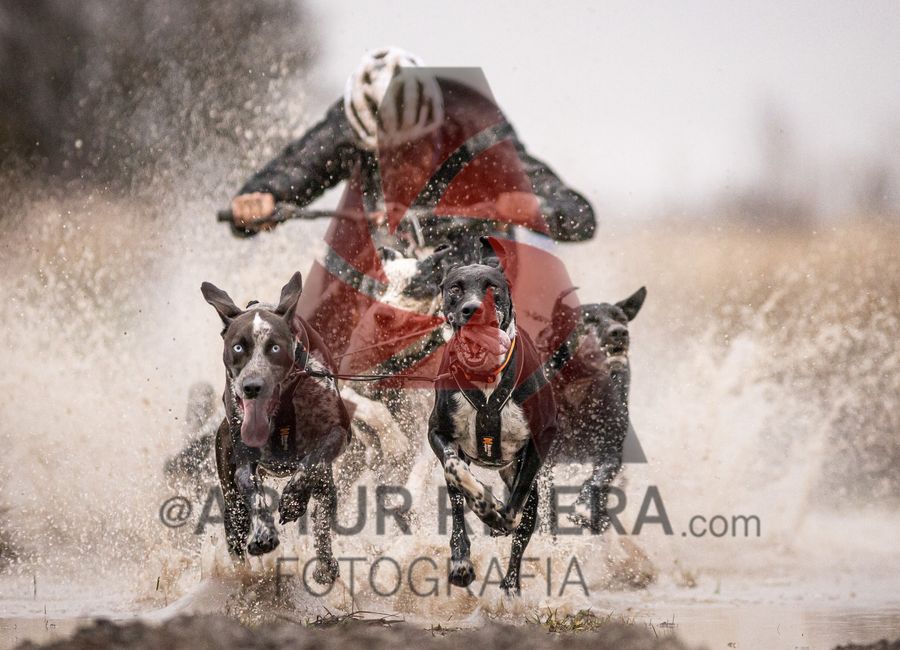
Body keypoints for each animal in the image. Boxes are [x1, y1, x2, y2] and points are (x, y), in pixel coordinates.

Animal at [202, 270, 350, 584]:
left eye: (275, 347)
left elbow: (312, 462)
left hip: (326, 488)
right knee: (236, 538)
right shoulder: (244, 463)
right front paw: (264, 534)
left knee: (322, 518)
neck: (282, 410)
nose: (252, 387)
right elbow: (254, 492)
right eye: (238, 347)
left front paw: (293, 500)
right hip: (232, 503)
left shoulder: (340, 432)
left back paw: (325, 564)